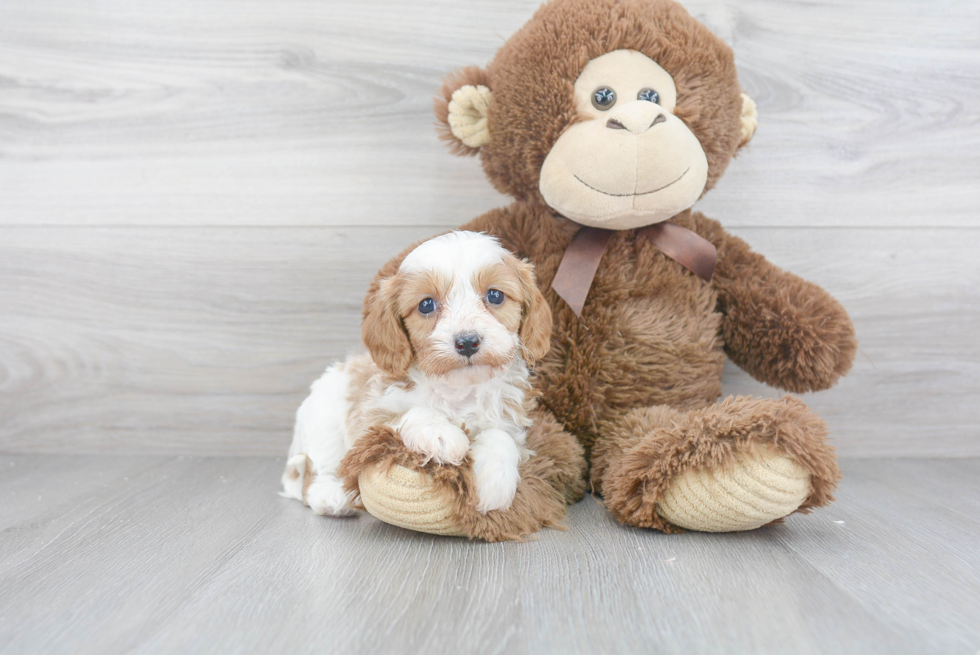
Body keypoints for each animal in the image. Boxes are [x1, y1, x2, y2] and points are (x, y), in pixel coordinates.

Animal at [284, 233, 556, 520]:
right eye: (426, 305)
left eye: (495, 295)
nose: (467, 342)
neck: (460, 389)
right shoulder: (372, 415)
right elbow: (413, 412)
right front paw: (443, 436)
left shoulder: (511, 420)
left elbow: (502, 437)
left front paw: (494, 483)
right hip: (324, 425)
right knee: (313, 477)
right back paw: (333, 496)